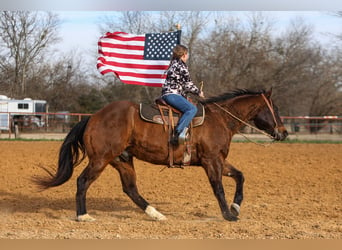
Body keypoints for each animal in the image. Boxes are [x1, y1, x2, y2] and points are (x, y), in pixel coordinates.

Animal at [32, 89, 288, 222]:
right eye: (275, 109)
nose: (284, 133)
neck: (220, 119)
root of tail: (92, 118)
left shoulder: (219, 161)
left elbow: (240, 176)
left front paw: (235, 207)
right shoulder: (211, 161)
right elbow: (218, 188)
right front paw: (228, 214)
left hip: (122, 160)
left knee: (131, 189)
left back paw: (155, 214)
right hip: (100, 160)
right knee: (82, 181)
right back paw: (83, 216)